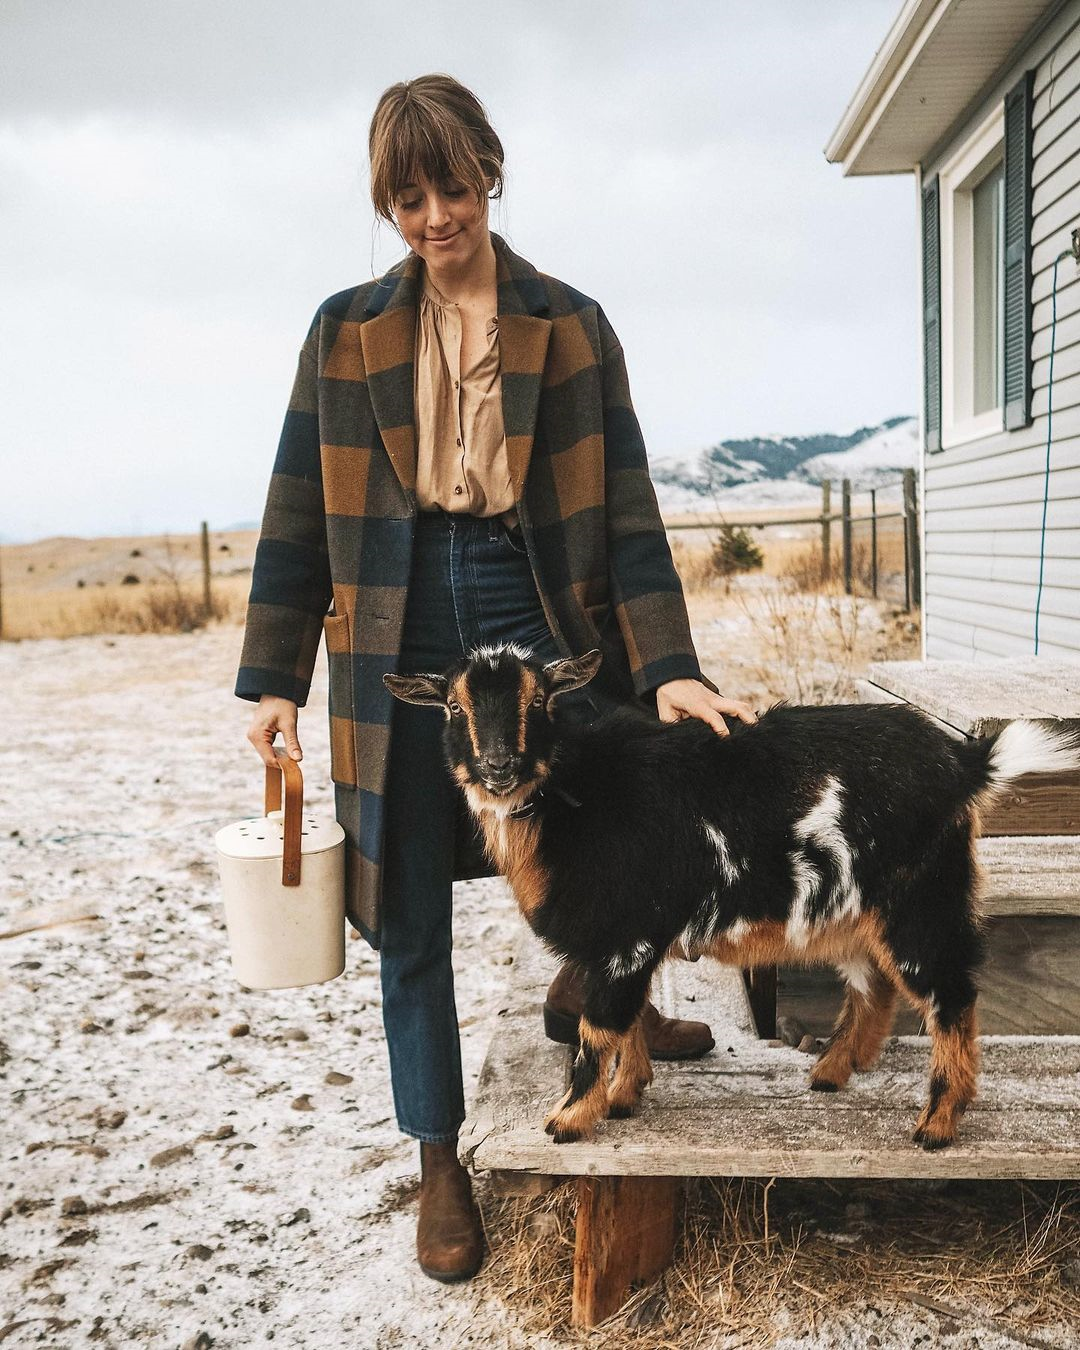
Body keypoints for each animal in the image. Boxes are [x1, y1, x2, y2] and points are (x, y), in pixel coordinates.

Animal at [383, 645, 1074, 1150]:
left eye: (539, 700)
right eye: (452, 708)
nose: (499, 766)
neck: (573, 796)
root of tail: (964, 764)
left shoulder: (624, 938)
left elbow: (598, 1027)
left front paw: (569, 1118)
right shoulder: (628, 942)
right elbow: (628, 1018)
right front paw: (625, 1096)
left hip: (921, 902)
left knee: (951, 997)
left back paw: (937, 1125)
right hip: (853, 913)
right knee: (874, 988)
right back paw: (831, 1073)